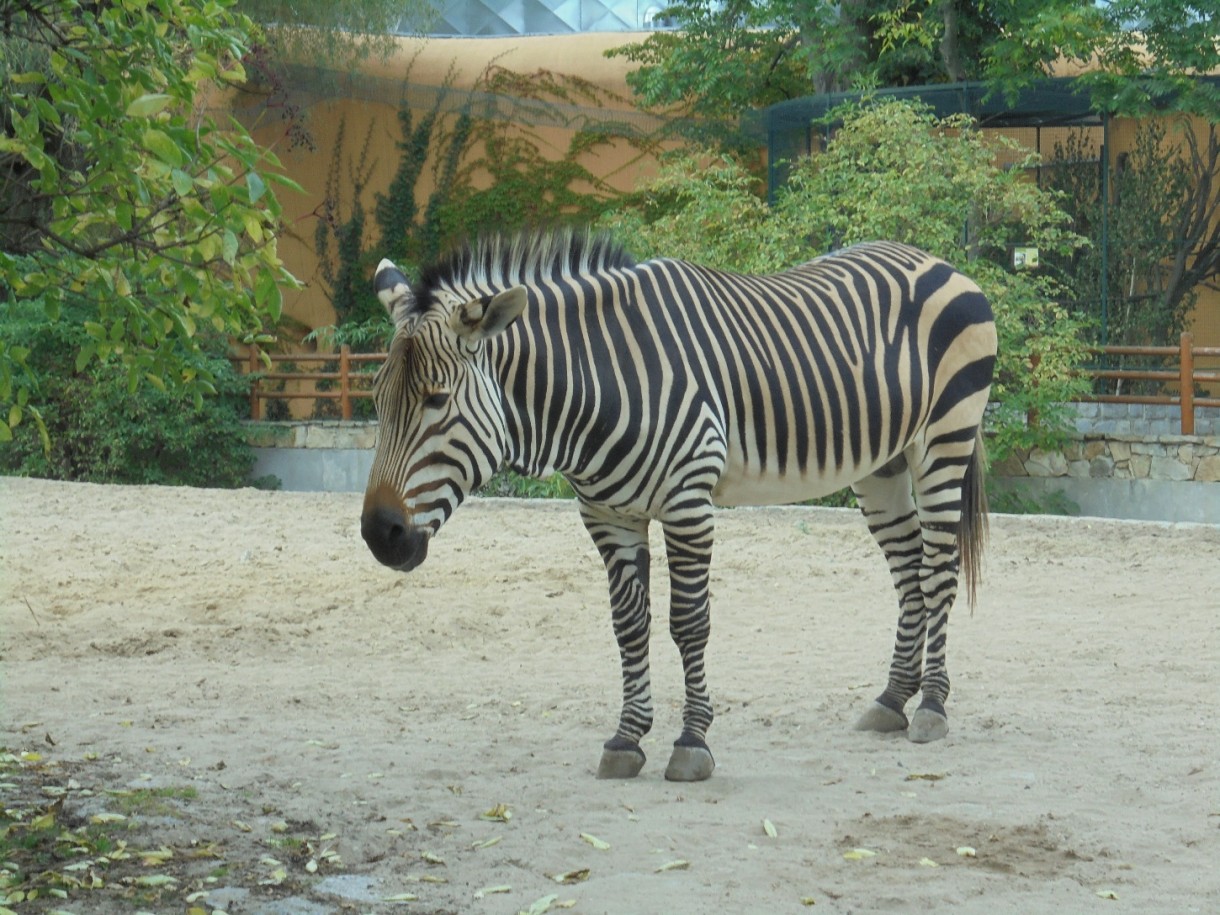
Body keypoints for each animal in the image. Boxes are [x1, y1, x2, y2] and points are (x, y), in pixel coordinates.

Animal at [356, 229, 995, 780]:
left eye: (437, 400)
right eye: (377, 399)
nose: (379, 534)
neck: (598, 386)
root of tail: (935, 260)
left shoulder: (689, 502)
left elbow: (688, 623)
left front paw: (691, 743)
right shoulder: (608, 515)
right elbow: (628, 626)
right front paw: (627, 738)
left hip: (944, 440)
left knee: (937, 574)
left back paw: (931, 708)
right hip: (881, 466)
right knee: (909, 575)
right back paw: (892, 700)